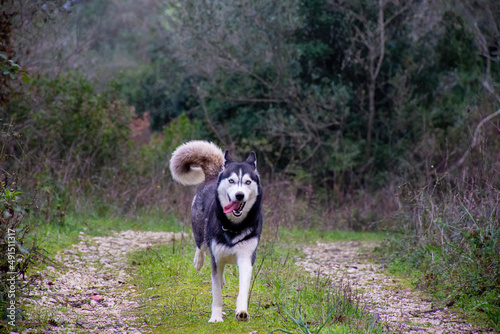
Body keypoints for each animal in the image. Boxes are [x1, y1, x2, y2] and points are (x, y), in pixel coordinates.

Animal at [169, 141, 264, 324]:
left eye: (248, 182)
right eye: (232, 180)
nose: (239, 195)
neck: (233, 226)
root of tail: (213, 177)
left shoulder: (246, 257)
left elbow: (243, 287)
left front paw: (242, 311)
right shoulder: (216, 257)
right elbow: (217, 293)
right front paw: (216, 317)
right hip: (201, 233)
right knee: (202, 247)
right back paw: (198, 261)